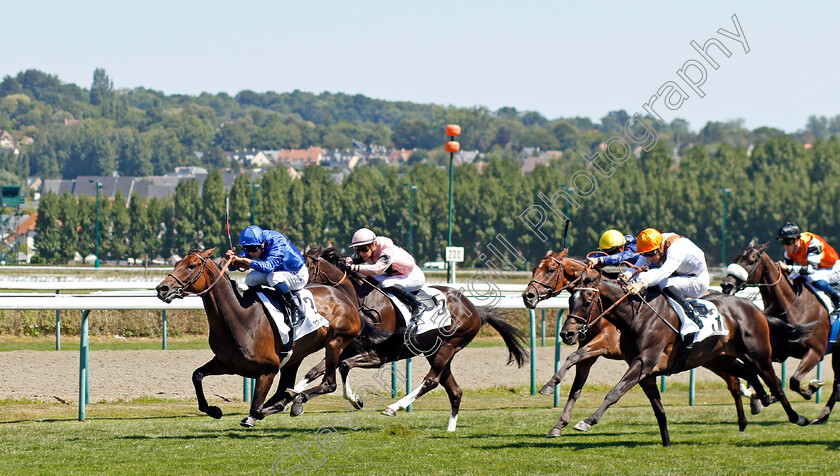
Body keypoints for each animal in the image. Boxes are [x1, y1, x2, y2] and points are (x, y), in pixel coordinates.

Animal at [157, 249, 378, 428]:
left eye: (191, 265)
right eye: (176, 264)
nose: (162, 288)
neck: (241, 318)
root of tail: (344, 298)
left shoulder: (268, 370)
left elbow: (256, 408)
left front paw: (260, 413)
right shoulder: (225, 363)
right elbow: (197, 375)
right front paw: (214, 410)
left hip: (335, 342)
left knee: (328, 383)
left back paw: (298, 399)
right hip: (295, 356)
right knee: (289, 385)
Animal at [292, 245, 528, 432]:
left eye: (304, 268)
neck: (360, 302)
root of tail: (475, 309)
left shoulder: (378, 355)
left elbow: (343, 367)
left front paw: (354, 399)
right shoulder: (347, 347)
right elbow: (317, 370)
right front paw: (295, 399)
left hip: (449, 346)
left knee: (431, 381)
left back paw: (393, 407)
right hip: (436, 352)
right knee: (454, 390)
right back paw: (450, 429)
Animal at [524, 249, 756, 438]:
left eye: (550, 269)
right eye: (534, 269)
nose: (528, 296)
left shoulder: (603, 343)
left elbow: (573, 357)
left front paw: (549, 386)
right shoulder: (590, 353)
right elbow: (576, 386)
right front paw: (558, 423)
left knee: (735, 383)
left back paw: (751, 409)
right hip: (711, 358)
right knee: (735, 379)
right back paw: (749, 411)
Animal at [560, 268, 812, 446]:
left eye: (587, 302)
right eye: (570, 300)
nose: (567, 334)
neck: (637, 316)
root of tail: (754, 307)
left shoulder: (644, 362)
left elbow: (614, 393)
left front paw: (587, 421)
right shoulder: (646, 372)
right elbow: (659, 409)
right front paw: (667, 443)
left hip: (757, 354)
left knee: (775, 382)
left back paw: (797, 417)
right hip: (719, 358)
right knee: (746, 373)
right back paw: (763, 399)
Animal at [720, 240, 836, 422]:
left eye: (751, 261)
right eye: (736, 258)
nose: (726, 284)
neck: (794, 306)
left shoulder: (816, 352)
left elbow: (794, 381)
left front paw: (811, 389)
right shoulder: (777, 352)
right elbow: (770, 378)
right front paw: (756, 398)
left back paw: (823, 413)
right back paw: (823, 414)